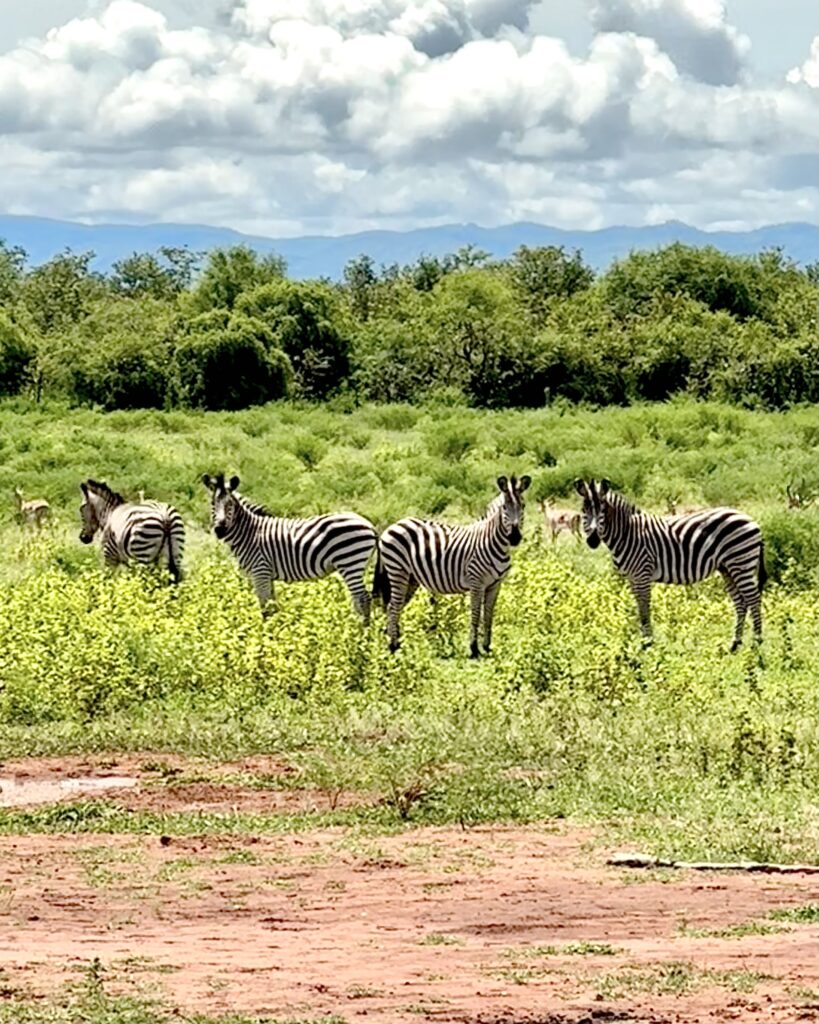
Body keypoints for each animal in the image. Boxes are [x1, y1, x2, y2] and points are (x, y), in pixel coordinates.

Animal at [199, 471, 378, 614]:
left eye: (229, 504)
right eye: (212, 504)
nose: (220, 530)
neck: (249, 533)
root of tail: (369, 525)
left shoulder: (260, 571)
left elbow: (265, 608)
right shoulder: (267, 575)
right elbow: (273, 605)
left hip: (350, 561)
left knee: (363, 598)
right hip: (355, 564)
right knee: (360, 598)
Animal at [372, 471, 532, 655]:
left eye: (523, 506)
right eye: (504, 507)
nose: (515, 537)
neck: (494, 542)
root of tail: (392, 525)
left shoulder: (495, 585)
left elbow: (488, 615)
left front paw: (487, 647)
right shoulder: (476, 582)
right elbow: (475, 614)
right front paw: (474, 649)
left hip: (411, 578)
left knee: (394, 607)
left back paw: (397, 645)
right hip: (398, 570)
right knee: (393, 606)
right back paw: (393, 647)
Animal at [573, 477, 765, 651]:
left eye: (602, 511)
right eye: (584, 510)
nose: (592, 540)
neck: (628, 533)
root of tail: (751, 519)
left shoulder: (642, 574)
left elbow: (644, 609)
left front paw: (648, 644)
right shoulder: (632, 578)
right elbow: (639, 608)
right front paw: (645, 641)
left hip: (740, 562)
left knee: (753, 599)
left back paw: (756, 643)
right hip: (727, 568)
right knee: (741, 602)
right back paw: (735, 644)